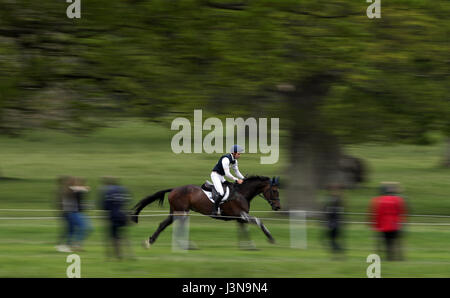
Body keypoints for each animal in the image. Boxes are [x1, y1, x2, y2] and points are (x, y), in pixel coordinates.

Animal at [128, 175, 282, 249]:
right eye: (274, 191)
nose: (278, 207)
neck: (242, 193)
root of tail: (173, 189)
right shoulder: (241, 214)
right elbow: (258, 221)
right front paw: (270, 238)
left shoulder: (240, 217)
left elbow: (243, 230)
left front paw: (247, 246)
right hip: (182, 212)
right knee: (178, 226)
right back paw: (187, 245)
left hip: (176, 212)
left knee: (163, 224)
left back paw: (150, 241)